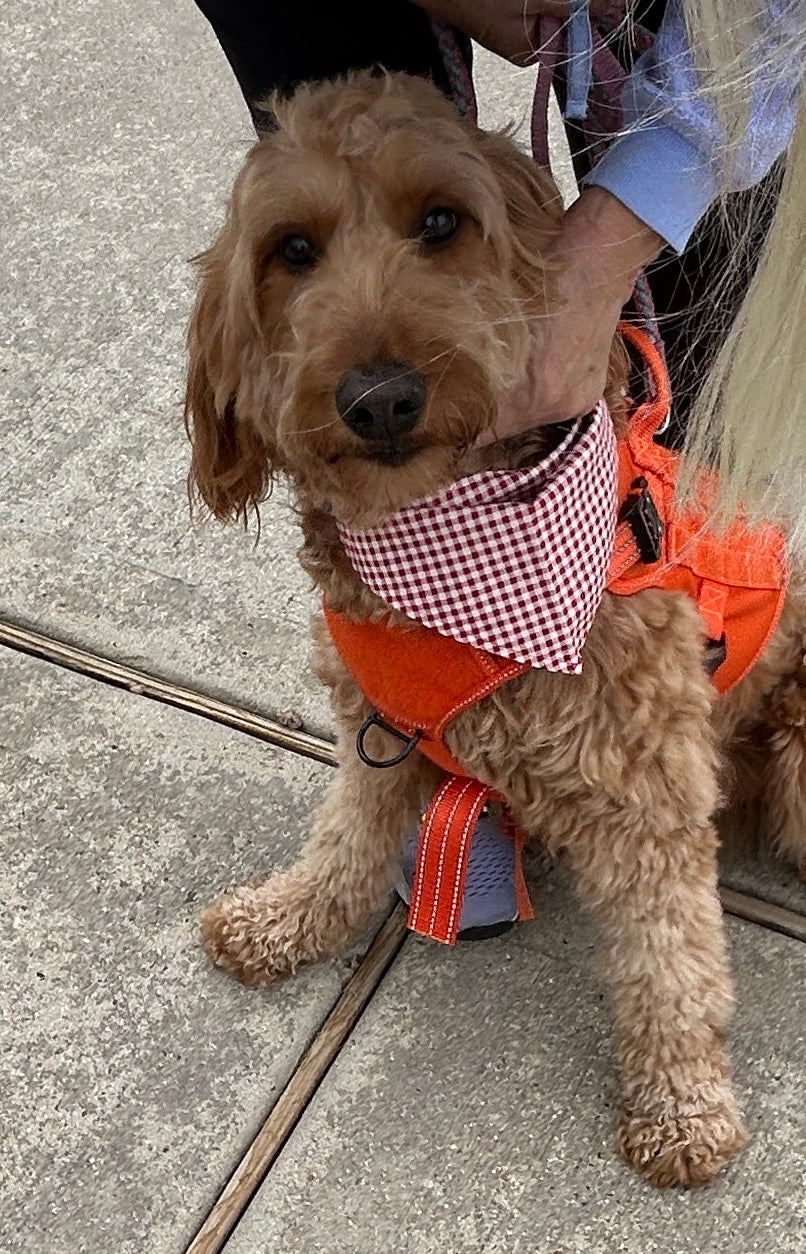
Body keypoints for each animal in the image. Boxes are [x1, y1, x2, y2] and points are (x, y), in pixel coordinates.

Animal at [185, 68, 806, 1183]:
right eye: (292, 250)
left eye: (441, 223)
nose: (380, 398)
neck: (451, 567)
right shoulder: (377, 732)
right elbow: (344, 843)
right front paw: (289, 919)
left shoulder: (648, 794)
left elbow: (671, 959)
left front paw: (682, 1107)